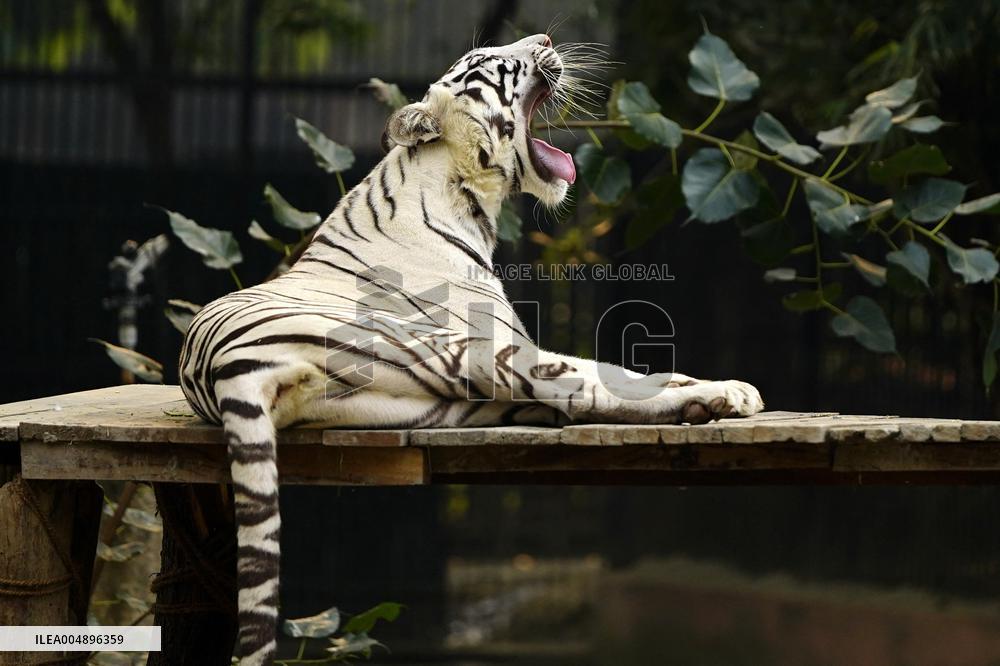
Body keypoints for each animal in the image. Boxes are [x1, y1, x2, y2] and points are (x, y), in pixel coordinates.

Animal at [179, 33, 763, 665]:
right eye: (494, 63)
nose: (546, 39)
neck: (464, 193)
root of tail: (225, 370)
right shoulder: (506, 337)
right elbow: (603, 372)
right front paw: (720, 388)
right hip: (463, 353)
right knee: (582, 394)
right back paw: (723, 396)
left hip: (428, 404)